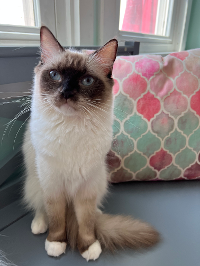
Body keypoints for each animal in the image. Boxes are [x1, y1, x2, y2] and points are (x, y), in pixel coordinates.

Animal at [22, 26, 159, 260]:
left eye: (86, 81)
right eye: (55, 75)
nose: (66, 93)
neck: (71, 129)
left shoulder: (86, 186)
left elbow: (85, 222)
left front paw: (89, 247)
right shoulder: (53, 184)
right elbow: (56, 218)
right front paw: (56, 244)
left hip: (99, 180)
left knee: (91, 211)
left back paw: (96, 212)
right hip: (35, 180)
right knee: (40, 206)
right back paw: (39, 225)